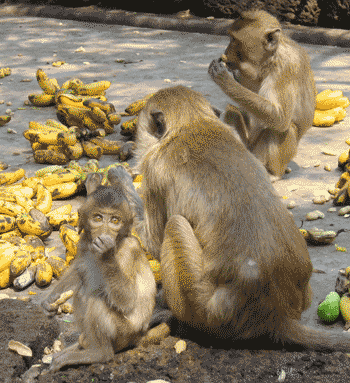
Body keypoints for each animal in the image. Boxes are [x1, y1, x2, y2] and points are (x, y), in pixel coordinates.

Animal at [41, 167, 167, 372]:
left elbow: (127, 300)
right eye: (98, 218)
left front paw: (107, 254)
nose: (105, 233)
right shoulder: (84, 243)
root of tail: (140, 334)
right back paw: (85, 343)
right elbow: (80, 268)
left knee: (97, 299)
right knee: (83, 291)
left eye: (115, 220)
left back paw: (99, 354)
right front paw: (51, 298)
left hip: (124, 333)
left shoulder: (129, 249)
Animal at [133, 85, 350, 352]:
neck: (192, 123)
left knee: (175, 225)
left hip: (203, 310)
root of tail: (278, 315)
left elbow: (154, 240)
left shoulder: (154, 168)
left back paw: (173, 315)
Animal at [206, 10, 316, 182]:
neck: (271, 58)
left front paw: (225, 79)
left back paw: (273, 173)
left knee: (280, 129)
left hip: (266, 151)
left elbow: (280, 118)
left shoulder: (285, 67)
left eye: (234, 40)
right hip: (251, 145)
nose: (225, 53)